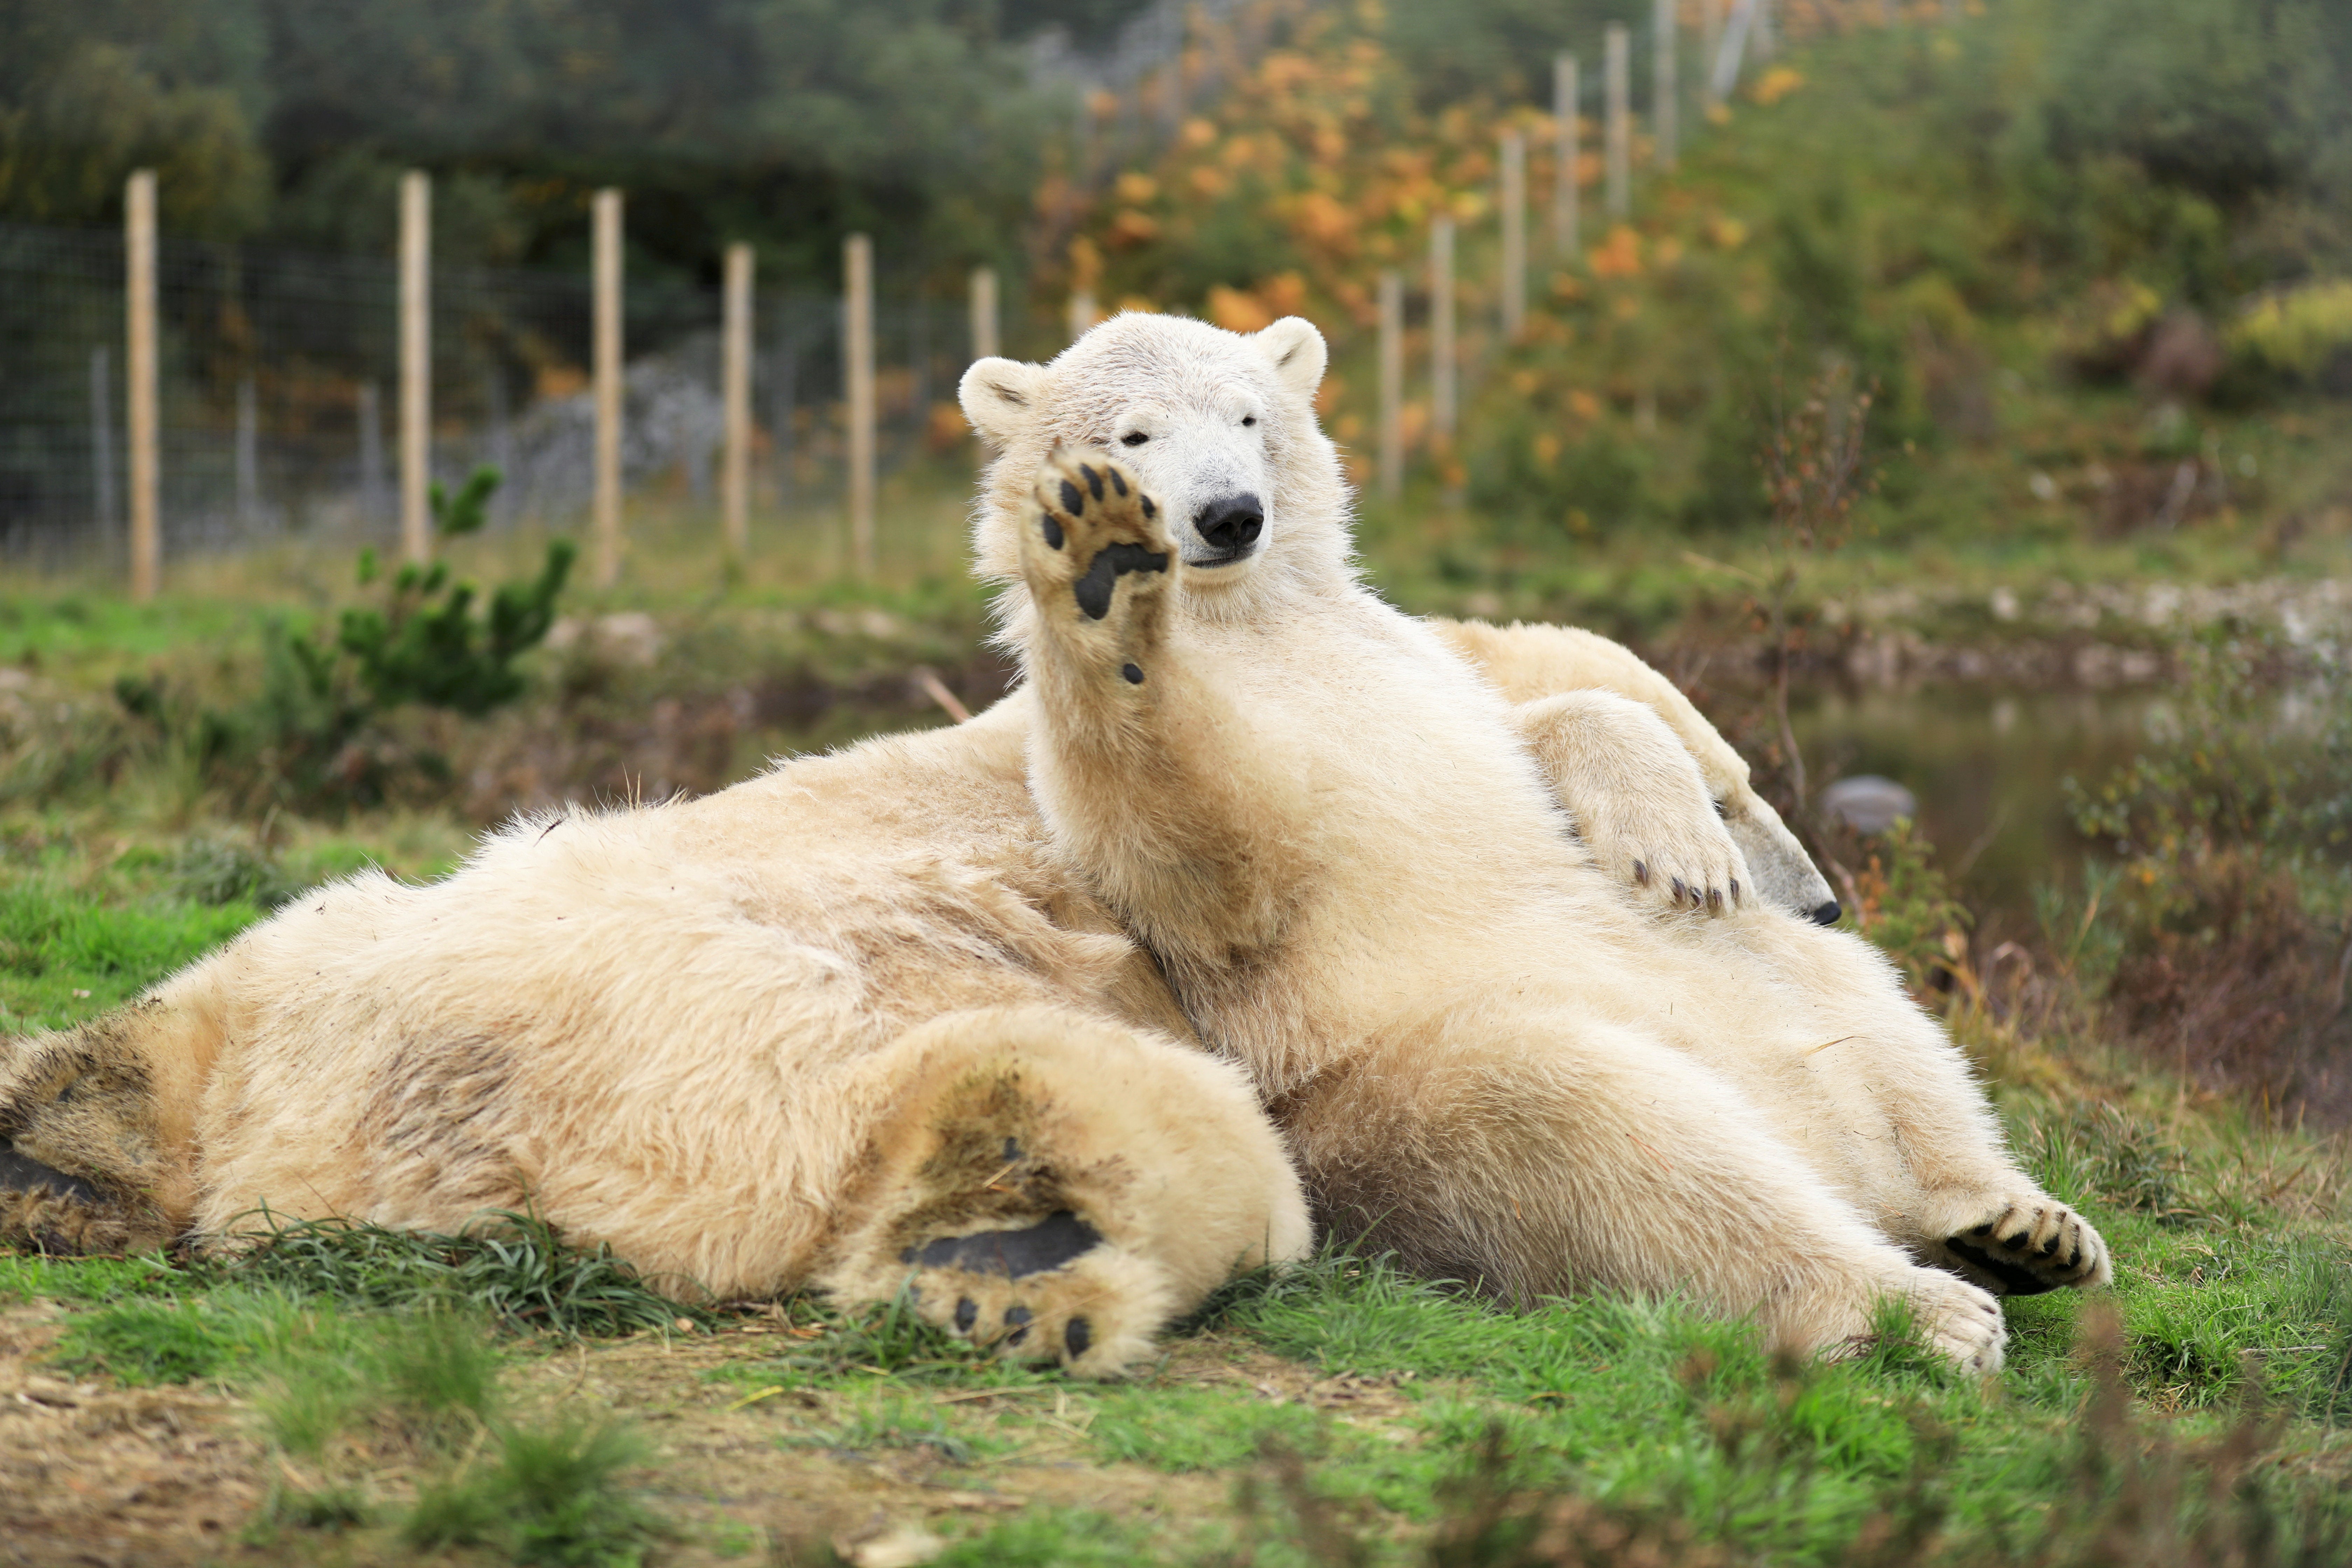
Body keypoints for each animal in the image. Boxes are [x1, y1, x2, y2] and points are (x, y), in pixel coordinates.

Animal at [959, 310, 2117, 1373]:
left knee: (1861, 1008)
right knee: (1614, 1143)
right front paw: (1106, 578)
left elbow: (1533, 723)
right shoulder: (1193, 828)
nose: (1230, 514)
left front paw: (1677, 843)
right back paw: (1923, 1308)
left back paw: (2013, 1221)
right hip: (1396, 1102)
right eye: (1134, 433)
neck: (1248, 617)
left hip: (1748, 982)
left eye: (1248, 416)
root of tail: (1818, 1150)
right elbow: (1199, 848)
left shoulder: (1409, 659)